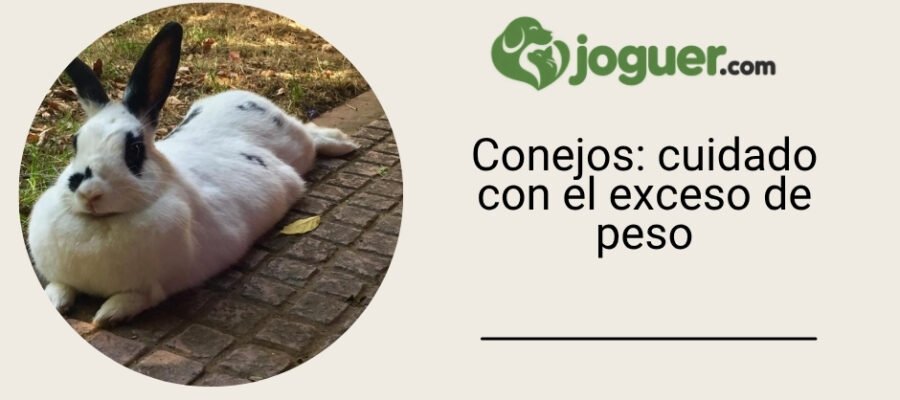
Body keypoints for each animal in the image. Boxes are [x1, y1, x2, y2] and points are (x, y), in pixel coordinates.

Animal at [27, 22, 358, 327]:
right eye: (75, 143)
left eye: (134, 150)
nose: (89, 193)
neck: (99, 223)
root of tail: (241, 96)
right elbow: (60, 286)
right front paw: (56, 301)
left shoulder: (157, 285)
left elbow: (135, 298)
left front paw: (107, 316)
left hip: (297, 147)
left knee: (311, 135)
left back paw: (345, 143)